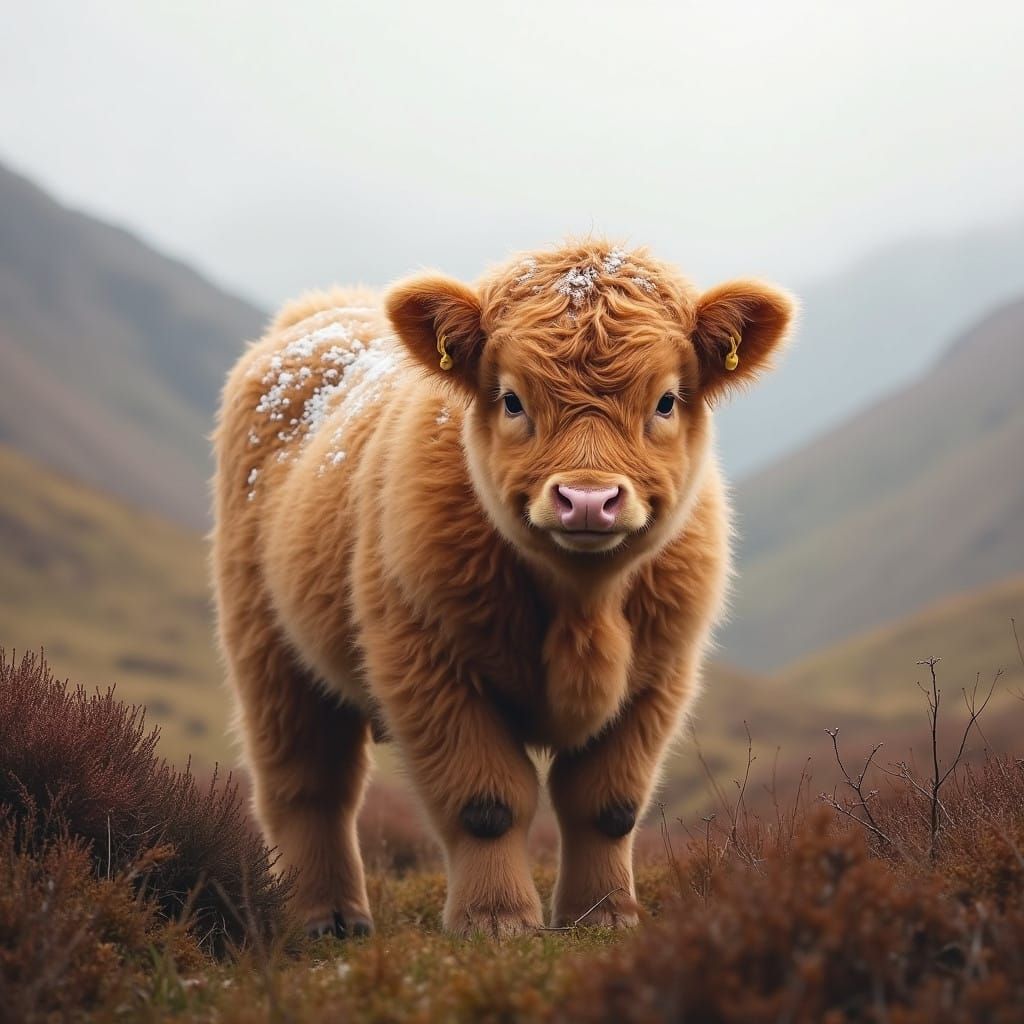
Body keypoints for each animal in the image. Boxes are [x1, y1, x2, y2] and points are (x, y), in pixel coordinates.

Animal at [211, 239, 794, 938]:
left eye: (666, 402)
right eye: (513, 400)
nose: (588, 500)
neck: (584, 607)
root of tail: (318, 314)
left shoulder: (660, 676)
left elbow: (607, 805)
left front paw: (603, 915)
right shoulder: (425, 663)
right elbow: (485, 803)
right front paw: (496, 919)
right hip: (265, 647)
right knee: (307, 784)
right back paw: (326, 915)